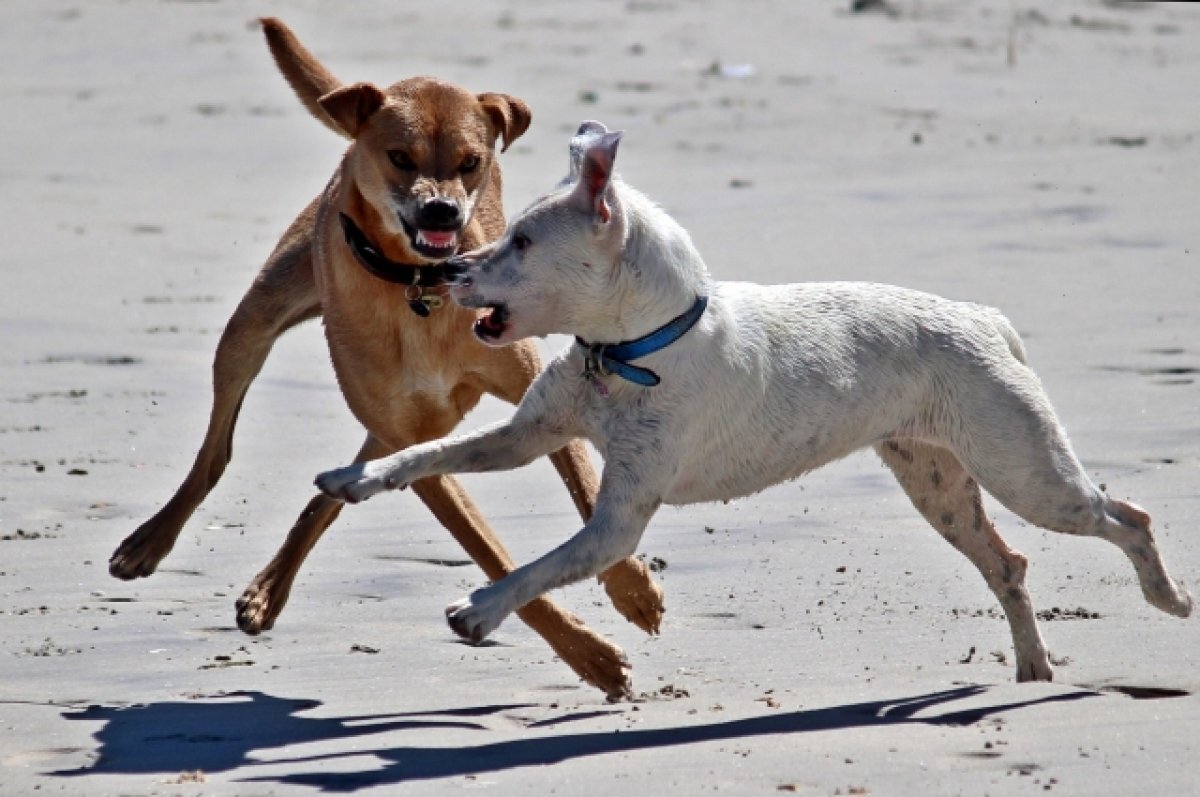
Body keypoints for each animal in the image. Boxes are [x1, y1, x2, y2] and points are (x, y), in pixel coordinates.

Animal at [106, 15, 662, 696]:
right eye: (400, 157)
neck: (418, 288)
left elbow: (583, 485)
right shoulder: (414, 441)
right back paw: (153, 542)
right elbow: (490, 553)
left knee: (339, 478)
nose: (442, 209)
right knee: (217, 449)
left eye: (471, 163)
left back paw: (270, 584)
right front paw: (591, 655)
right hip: (255, 324)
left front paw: (632, 589)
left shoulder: (522, 397)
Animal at [316, 121, 1190, 681]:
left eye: (522, 242)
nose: (447, 270)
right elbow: (426, 451)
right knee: (1009, 562)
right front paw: (355, 478)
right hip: (939, 485)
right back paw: (1033, 666)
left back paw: (1168, 597)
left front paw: (481, 610)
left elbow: (540, 568)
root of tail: (985, 317)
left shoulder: (616, 523)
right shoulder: (530, 435)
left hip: (1027, 473)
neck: (633, 349)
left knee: (1127, 516)